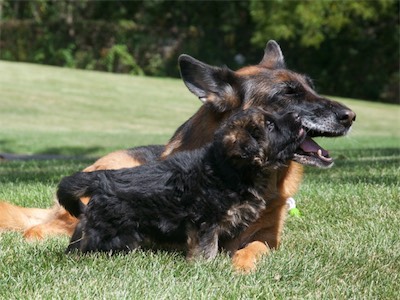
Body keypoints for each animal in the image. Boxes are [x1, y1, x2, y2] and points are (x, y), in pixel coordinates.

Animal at [57, 108, 304, 260]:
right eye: (270, 125)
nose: (298, 115)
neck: (229, 170)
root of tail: (101, 179)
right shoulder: (206, 222)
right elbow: (207, 247)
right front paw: (205, 266)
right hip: (116, 234)